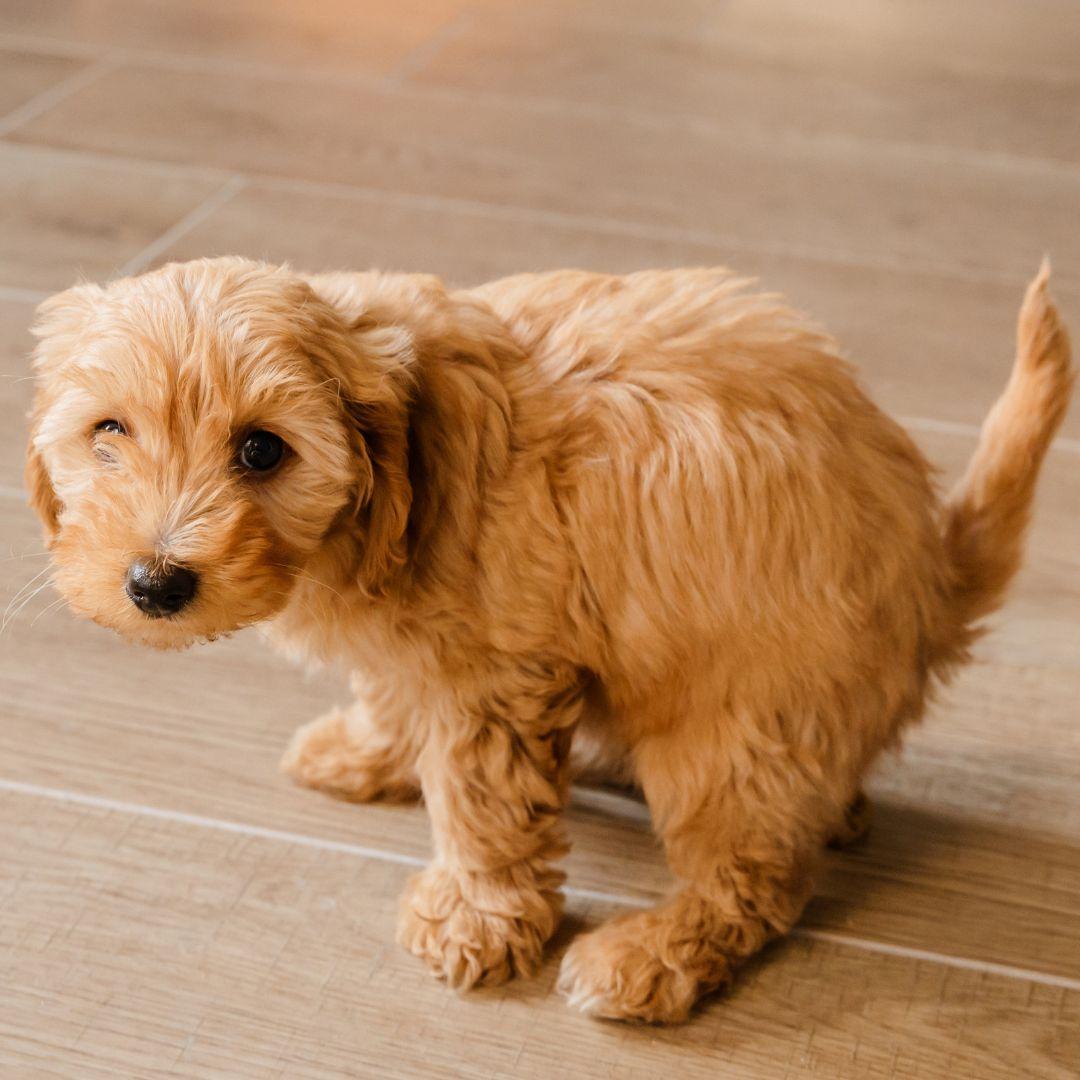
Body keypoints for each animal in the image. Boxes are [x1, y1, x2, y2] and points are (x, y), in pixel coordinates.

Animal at [23, 257, 1071, 1015]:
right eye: (108, 431)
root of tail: (933, 574)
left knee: (756, 880)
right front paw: (368, 750)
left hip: (732, 733)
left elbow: (481, 803)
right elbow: (394, 692)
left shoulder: (493, 675)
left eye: (260, 449)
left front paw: (474, 918)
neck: (406, 460)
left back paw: (651, 955)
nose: (157, 583)